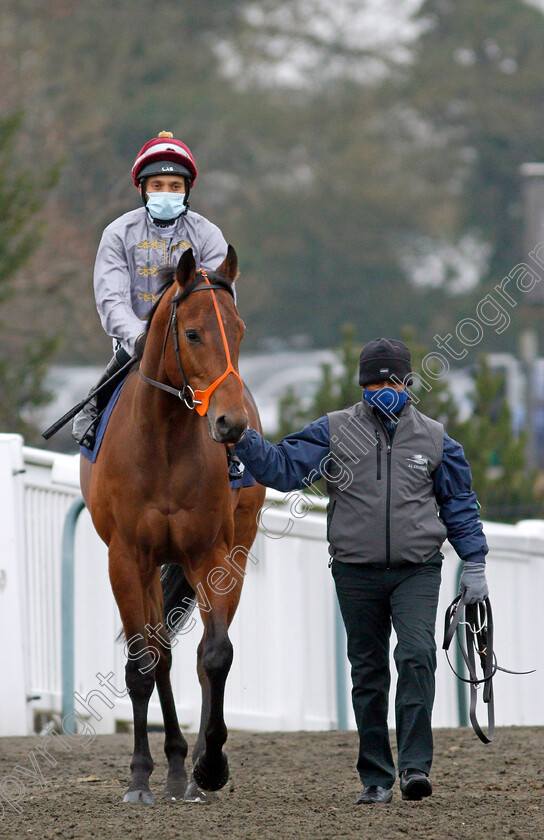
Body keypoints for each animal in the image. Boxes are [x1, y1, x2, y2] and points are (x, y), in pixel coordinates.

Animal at [80, 246, 266, 804]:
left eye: (239, 329)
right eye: (193, 333)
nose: (231, 423)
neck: (162, 444)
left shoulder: (210, 553)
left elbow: (215, 655)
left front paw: (211, 765)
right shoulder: (127, 557)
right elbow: (144, 662)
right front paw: (141, 776)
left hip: (236, 550)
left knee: (200, 654)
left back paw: (192, 769)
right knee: (159, 652)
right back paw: (174, 767)